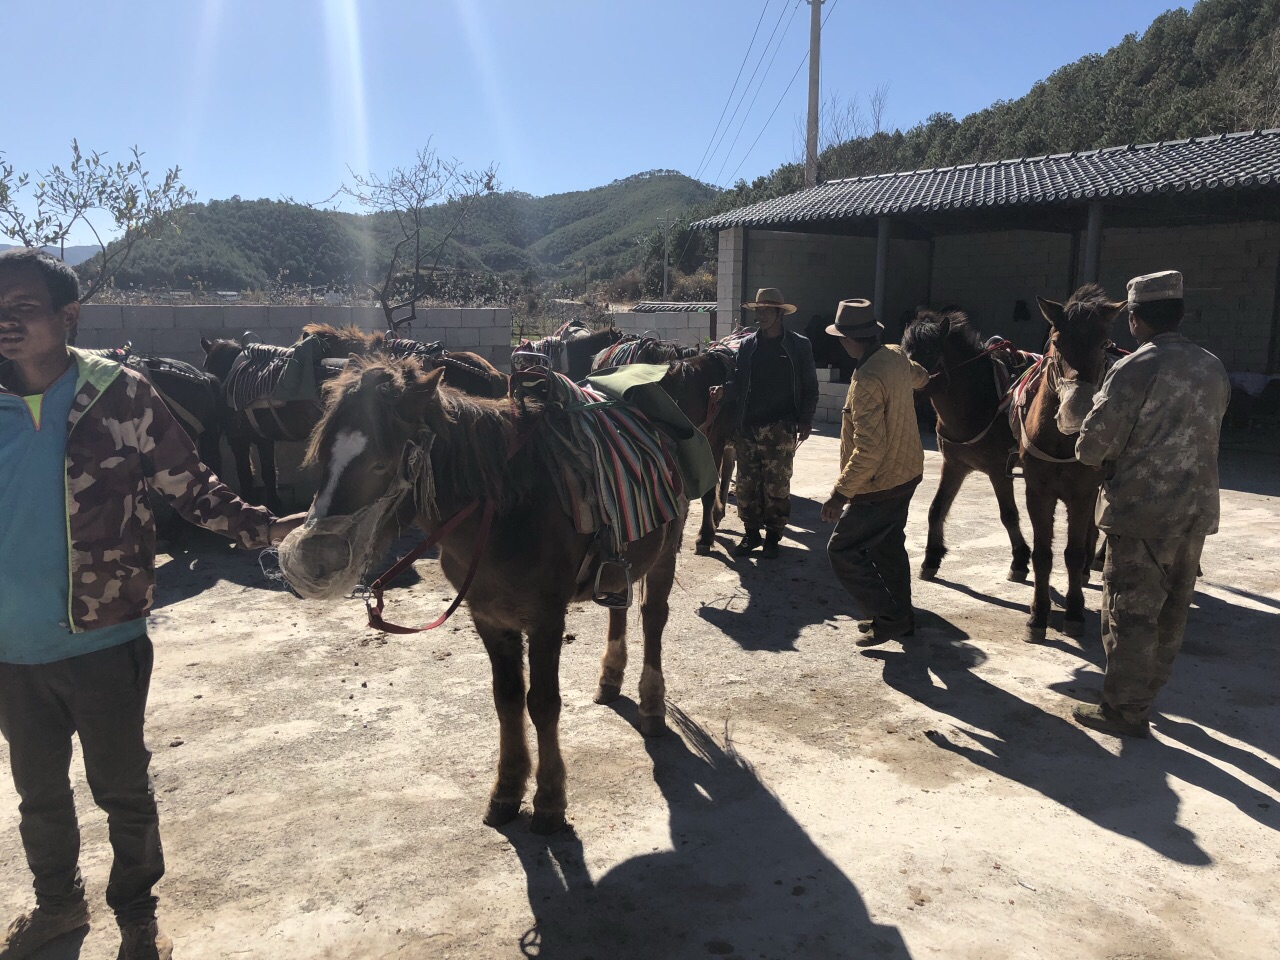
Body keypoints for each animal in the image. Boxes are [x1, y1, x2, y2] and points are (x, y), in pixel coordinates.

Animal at [281, 360, 691, 834]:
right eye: (321, 460)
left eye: (380, 464)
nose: (310, 558)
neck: (505, 512)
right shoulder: (489, 618)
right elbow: (507, 701)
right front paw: (507, 790)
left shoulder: (546, 619)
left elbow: (543, 704)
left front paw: (549, 801)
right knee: (619, 608)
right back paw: (609, 679)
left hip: (665, 555)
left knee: (653, 619)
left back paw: (652, 706)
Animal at [901, 313, 1029, 586]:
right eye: (905, 349)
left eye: (929, 350)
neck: (980, 402)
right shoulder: (954, 466)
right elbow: (936, 509)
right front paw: (931, 558)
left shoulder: (999, 471)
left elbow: (1009, 515)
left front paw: (1020, 561)